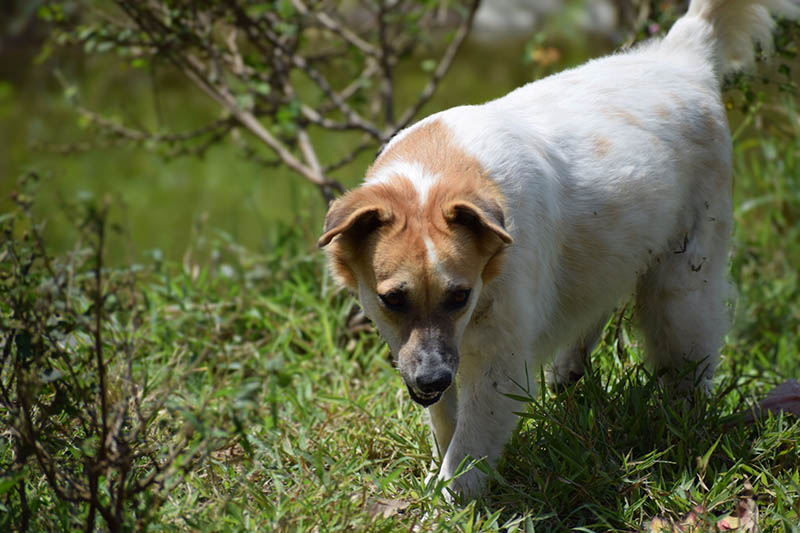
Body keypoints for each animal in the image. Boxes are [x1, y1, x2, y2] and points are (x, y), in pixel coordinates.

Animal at [318, 1, 800, 498]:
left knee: (690, 360)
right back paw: (569, 370)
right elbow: (446, 424)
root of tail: (682, 52)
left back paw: (686, 424)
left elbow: (467, 453)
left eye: (460, 296)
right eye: (392, 299)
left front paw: (444, 502)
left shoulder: (499, 366)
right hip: (606, 257)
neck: (438, 172)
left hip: (682, 288)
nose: (432, 378)